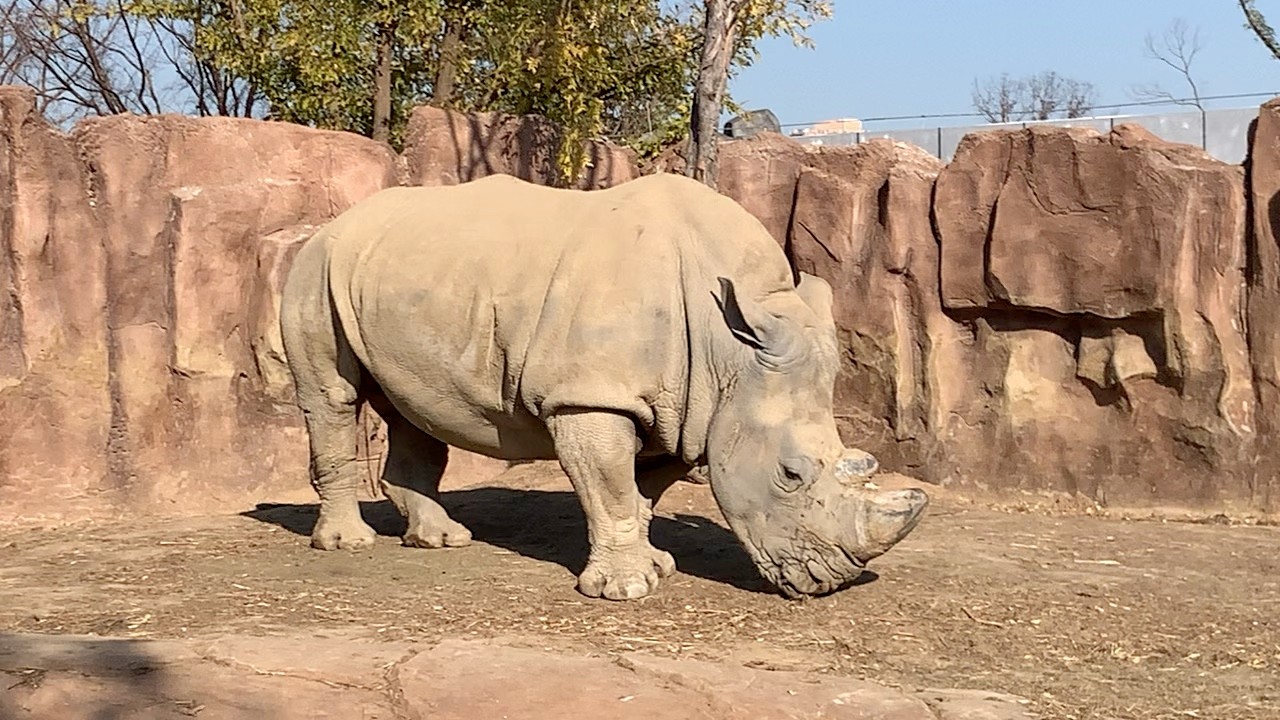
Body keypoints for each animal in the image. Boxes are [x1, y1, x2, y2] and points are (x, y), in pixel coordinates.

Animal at [279, 172, 928, 600]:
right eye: (789, 475)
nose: (831, 582)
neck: (730, 351)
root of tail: (334, 224)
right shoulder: (591, 394)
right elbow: (611, 484)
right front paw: (627, 589)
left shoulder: (685, 409)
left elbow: (641, 491)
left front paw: (656, 565)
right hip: (315, 270)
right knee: (333, 397)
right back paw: (348, 544)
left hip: (405, 279)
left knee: (413, 409)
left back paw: (442, 540)